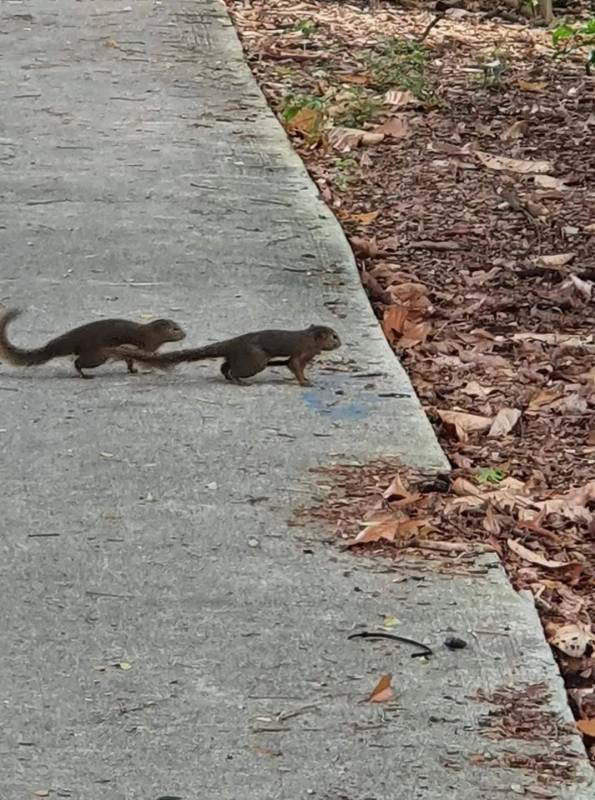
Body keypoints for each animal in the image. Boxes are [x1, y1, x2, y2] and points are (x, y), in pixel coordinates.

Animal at [0, 308, 186, 380]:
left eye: (180, 327)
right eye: (176, 329)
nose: (185, 333)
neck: (148, 333)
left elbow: (129, 361)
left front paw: (133, 370)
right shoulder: (144, 344)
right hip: (97, 355)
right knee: (78, 362)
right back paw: (85, 376)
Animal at [105, 324, 342, 388]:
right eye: (334, 336)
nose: (341, 342)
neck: (309, 340)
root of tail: (235, 342)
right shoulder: (301, 352)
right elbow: (295, 366)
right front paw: (305, 382)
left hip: (242, 356)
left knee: (224, 365)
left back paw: (228, 377)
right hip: (256, 359)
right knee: (235, 368)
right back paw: (241, 382)